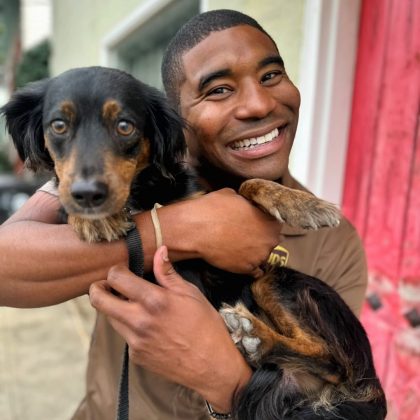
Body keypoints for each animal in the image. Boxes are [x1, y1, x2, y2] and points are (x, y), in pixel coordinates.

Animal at [0, 67, 388, 418]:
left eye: (125, 126)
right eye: (58, 126)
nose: (88, 195)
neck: (141, 195)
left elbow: (246, 184)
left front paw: (303, 204)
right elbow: (64, 208)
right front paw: (91, 218)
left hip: (272, 279)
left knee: (331, 359)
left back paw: (256, 336)